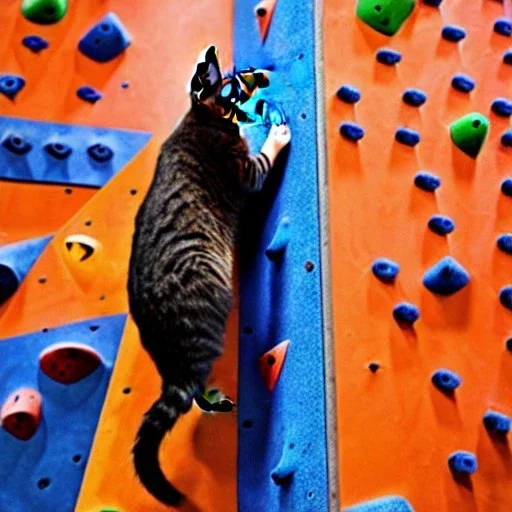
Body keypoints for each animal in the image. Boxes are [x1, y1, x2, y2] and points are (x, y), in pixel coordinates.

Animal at [126, 46, 290, 506]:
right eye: (235, 85)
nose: (262, 76)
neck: (201, 116)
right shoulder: (242, 168)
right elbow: (261, 159)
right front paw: (274, 135)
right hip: (202, 320)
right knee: (190, 394)